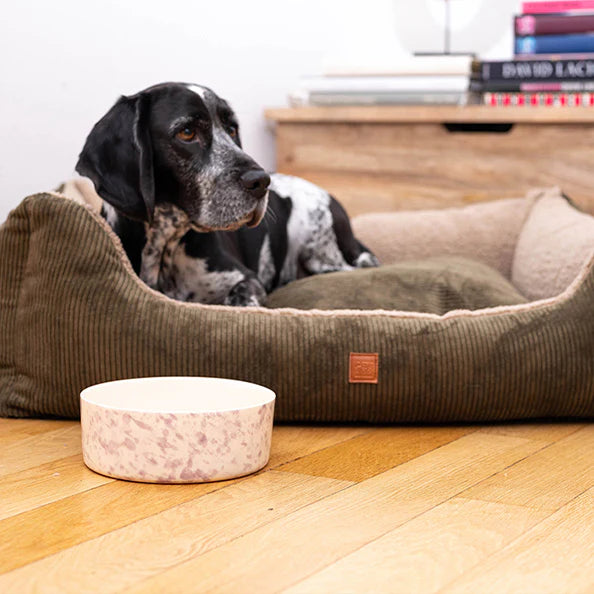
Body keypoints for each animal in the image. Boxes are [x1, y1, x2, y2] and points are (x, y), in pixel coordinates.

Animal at [76, 82, 379, 306]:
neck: (166, 246)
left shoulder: (247, 279)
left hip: (321, 249)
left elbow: (240, 296)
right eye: (187, 132)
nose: (262, 181)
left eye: (232, 129)